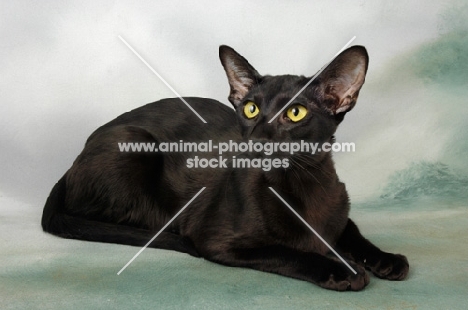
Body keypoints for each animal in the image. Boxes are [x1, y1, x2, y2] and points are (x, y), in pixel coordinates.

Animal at [44, 44, 410, 290]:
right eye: (250, 109)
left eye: (296, 113)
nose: (258, 140)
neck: (300, 187)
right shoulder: (218, 240)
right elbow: (287, 251)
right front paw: (342, 269)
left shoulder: (338, 211)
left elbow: (353, 231)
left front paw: (387, 259)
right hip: (135, 144)